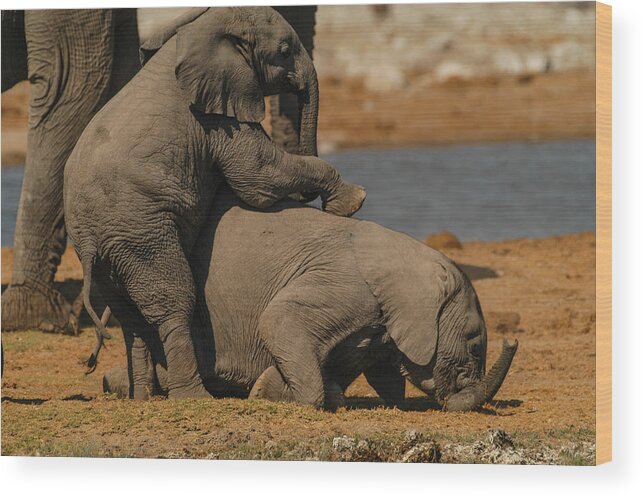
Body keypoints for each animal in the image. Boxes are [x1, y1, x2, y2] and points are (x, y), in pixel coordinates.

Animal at [66, 6, 368, 400]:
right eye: (285, 51)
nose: (310, 201)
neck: (194, 32)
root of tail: (87, 240)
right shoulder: (215, 116)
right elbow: (258, 176)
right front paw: (353, 201)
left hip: (113, 254)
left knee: (131, 317)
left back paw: (143, 396)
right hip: (141, 233)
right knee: (175, 303)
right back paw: (193, 396)